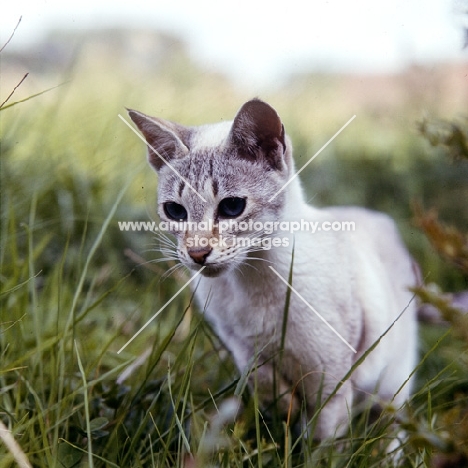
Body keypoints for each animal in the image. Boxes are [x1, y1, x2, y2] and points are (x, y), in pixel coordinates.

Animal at [127, 98, 416, 438]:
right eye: (175, 211)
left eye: (231, 207)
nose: (197, 253)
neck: (251, 279)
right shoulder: (240, 345)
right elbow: (263, 381)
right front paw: (285, 406)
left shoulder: (331, 379)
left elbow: (323, 438)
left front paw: (307, 439)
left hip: (392, 382)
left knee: (392, 425)